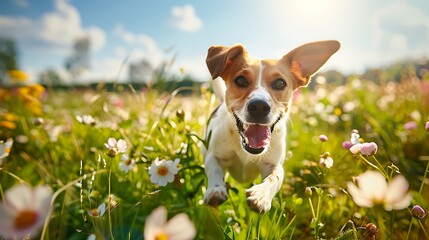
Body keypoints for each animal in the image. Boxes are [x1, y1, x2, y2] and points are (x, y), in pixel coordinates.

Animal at [202, 40, 340, 213]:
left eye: (280, 83)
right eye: (240, 80)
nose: (259, 106)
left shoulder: (274, 166)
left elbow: (274, 178)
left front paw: (261, 195)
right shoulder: (214, 157)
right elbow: (214, 168)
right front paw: (215, 189)